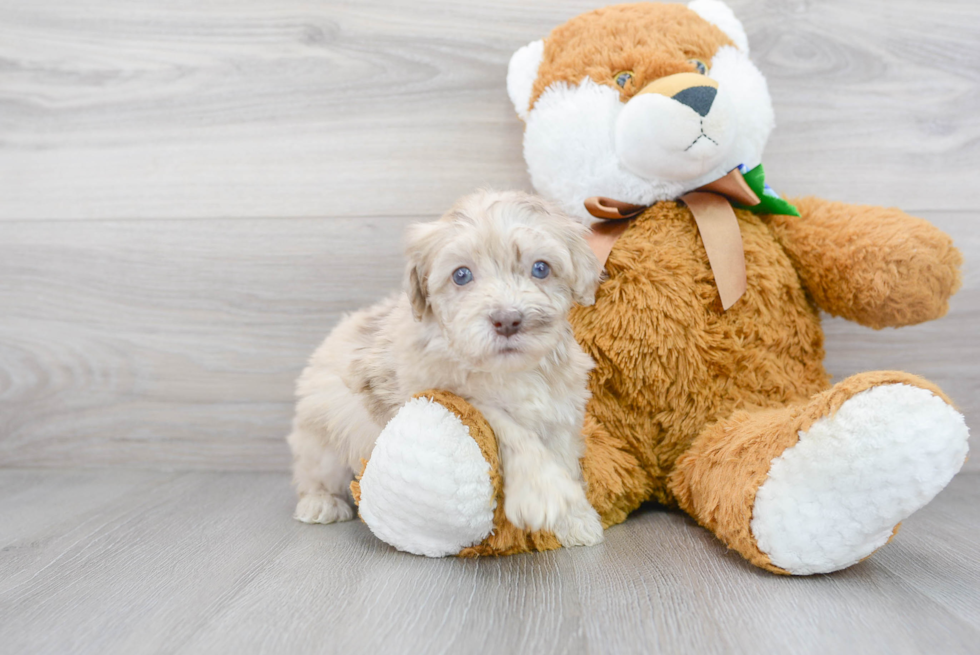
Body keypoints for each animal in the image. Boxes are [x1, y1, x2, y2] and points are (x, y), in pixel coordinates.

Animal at [286, 190, 604, 548]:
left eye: (541, 268)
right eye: (461, 275)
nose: (507, 320)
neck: (509, 371)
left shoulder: (561, 411)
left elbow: (565, 460)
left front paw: (576, 518)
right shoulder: (452, 396)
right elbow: (511, 430)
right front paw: (544, 492)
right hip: (322, 434)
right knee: (315, 471)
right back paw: (320, 502)